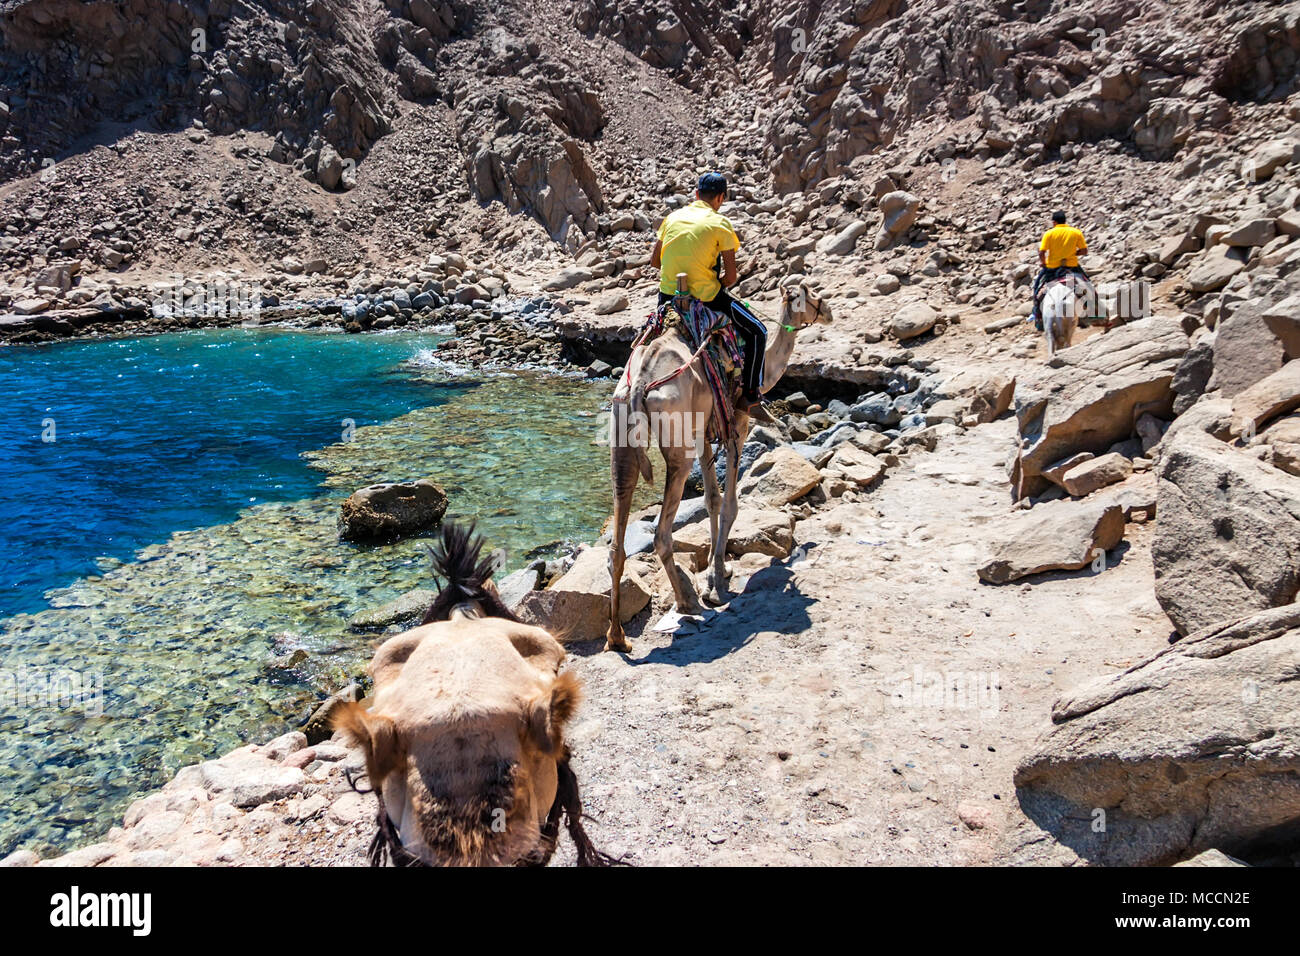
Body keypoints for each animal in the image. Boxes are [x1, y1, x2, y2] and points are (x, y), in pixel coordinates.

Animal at [605, 280, 832, 653]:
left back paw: (617, 638)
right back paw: (688, 603)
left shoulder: (703, 432)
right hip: (678, 445)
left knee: (617, 538)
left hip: (621, 431)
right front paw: (716, 583)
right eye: (812, 294)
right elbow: (729, 505)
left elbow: (711, 498)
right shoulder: (736, 421)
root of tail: (639, 384)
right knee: (662, 534)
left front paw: (718, 568)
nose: (828, 311)